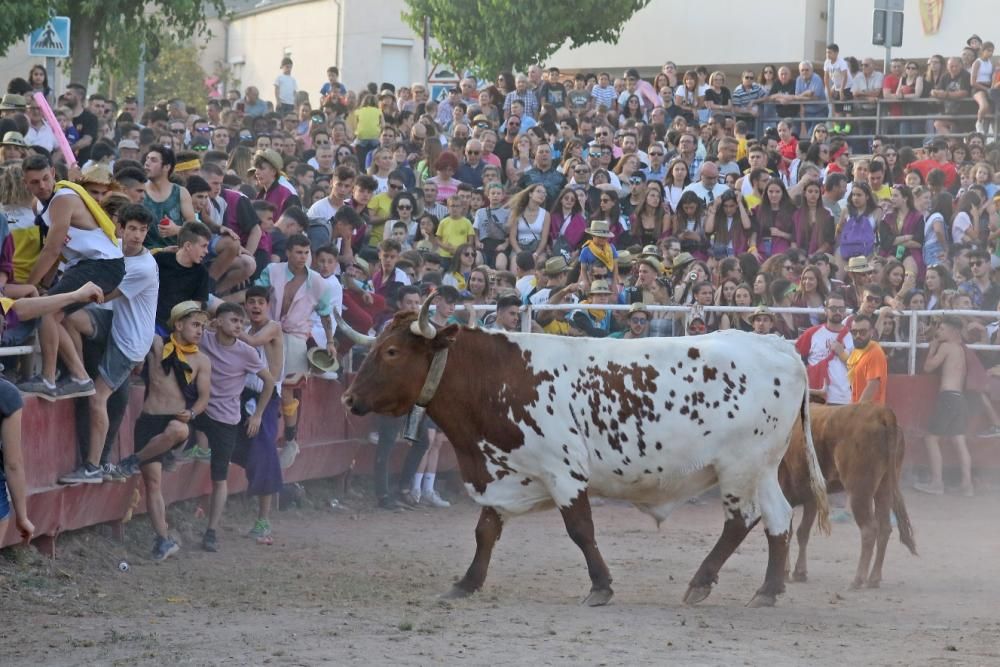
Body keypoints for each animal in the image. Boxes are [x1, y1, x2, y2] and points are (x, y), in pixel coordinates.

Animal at [340, 300, 824, 608]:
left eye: (391, 351)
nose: (348, 399)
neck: (500, 378)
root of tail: (778, 346)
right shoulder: (505, 470)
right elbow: (485, 531)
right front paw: (466, 583)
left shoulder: (563, 472)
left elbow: (580, 530)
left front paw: (600, 586)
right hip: (763, 468)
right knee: (779, 520)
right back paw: (768, 590)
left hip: (738, 468)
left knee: (742, 521)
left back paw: (701, 582)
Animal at [780, 402, 916, 588]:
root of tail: (881, 413)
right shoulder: (812, 496)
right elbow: (802, 532)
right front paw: (799, 572)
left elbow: (788, 530)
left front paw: (786, 572)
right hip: (885, 487)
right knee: (884, 528)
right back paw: (874, 578)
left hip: (859, 491)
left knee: (869, 529)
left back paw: (858, 580)